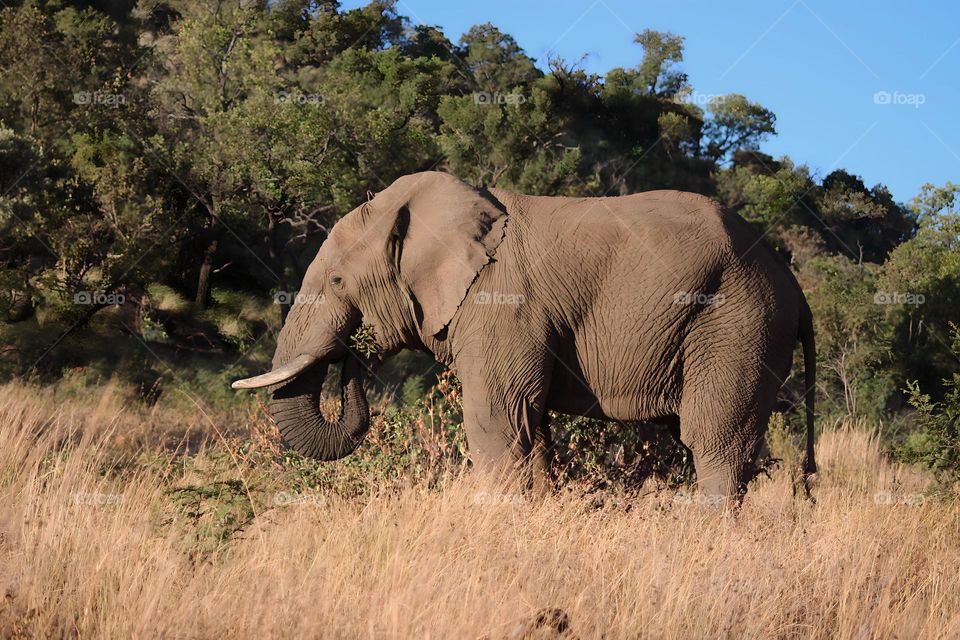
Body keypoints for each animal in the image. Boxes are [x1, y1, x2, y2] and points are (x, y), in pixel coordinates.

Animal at [232, 172, 816, 502]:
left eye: (336, 282)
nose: (356, 354)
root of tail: (793, 285)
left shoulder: (502, 302)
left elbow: (497, 419)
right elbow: (528, 427)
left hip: (737, 323)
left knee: (713, 443)